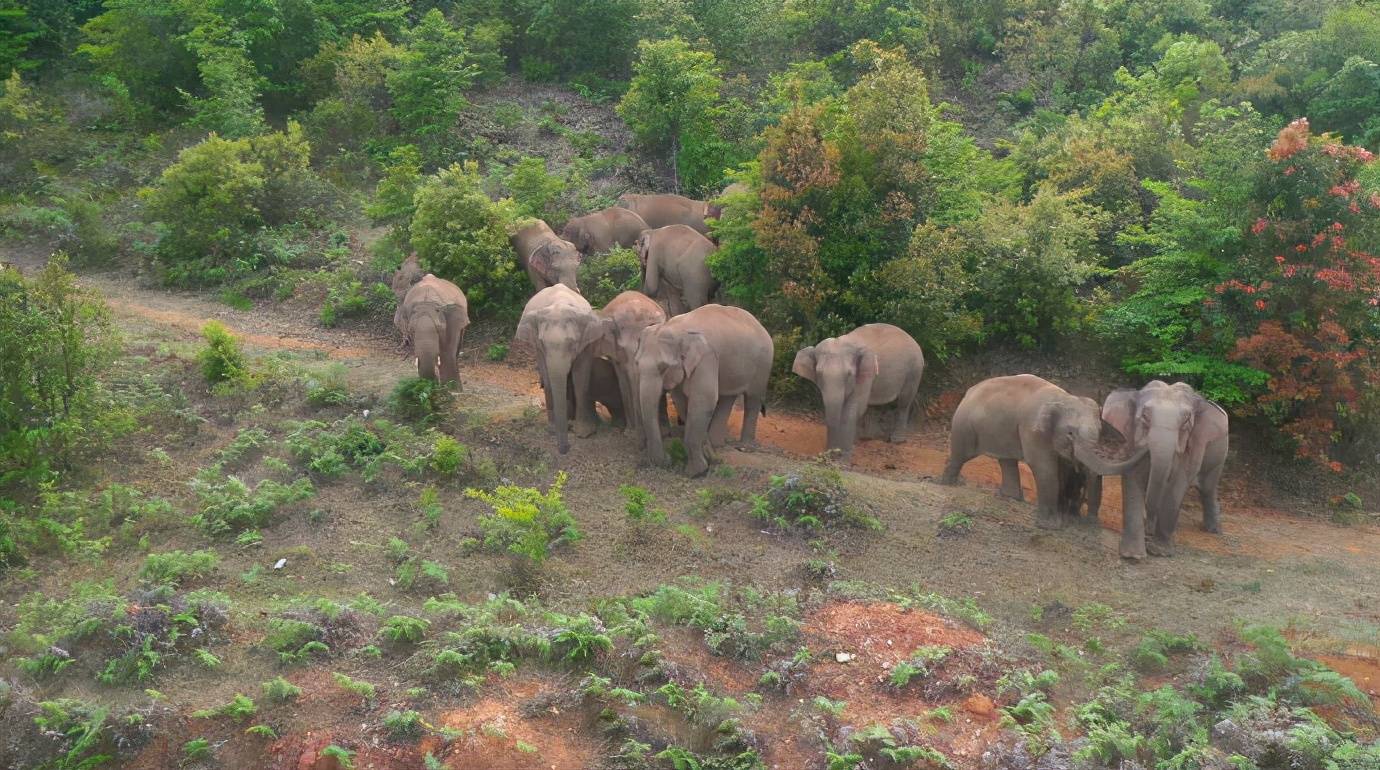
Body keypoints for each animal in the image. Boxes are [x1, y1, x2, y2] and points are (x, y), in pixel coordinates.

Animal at [516, 284, 608, 454]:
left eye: (572, 344)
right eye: (542, 343)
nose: (566, 448)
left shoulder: (585, 343)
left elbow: (581, 379)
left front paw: (584, 433)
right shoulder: (538, 347)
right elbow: (548, 377)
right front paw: (554, 429)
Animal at [634, 304, 773, 477]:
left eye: (663, 367)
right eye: (636, 363)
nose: (667, 460)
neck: (676, 328)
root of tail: (760, 324)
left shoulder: (707, 359)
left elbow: (704, 400)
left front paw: (695, 473)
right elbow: (683, 402)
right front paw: (710, 457)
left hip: (763, 363)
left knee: (752, 399)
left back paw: (744, 447)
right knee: (727, 397)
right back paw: (717, 444)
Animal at [792, 324, 926, 461]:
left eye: (849, 374)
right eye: (819, 374)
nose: (830, 453)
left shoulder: (866, 372)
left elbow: (853, 409)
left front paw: (843, 459)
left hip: (914, 371)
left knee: (904, 403)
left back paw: (896, 441)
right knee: (873, 405)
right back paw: (865, 438)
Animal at [941, 375, 1147, 529]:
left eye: (1099, 432)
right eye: (1070, 434)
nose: (1092, 521)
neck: (1064, 397)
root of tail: (969, 391)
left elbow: (1063, 469)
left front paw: (1067, 519)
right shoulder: (1033, 431)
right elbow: (1045, 468)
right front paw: (1051, 526)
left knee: (1006, 460)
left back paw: (1011, 497)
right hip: (964, 424)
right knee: (961, 455)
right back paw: (948, 483)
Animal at [1102, 381, 1229, 559]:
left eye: (1186, 421)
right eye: (1145, 417)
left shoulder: (1195, 444)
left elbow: (1178, 483)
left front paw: (1159, 551)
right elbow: (1134, 476)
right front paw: (1132, 555)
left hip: (1220, 453)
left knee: (1208, 488)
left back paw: (1214, 530)